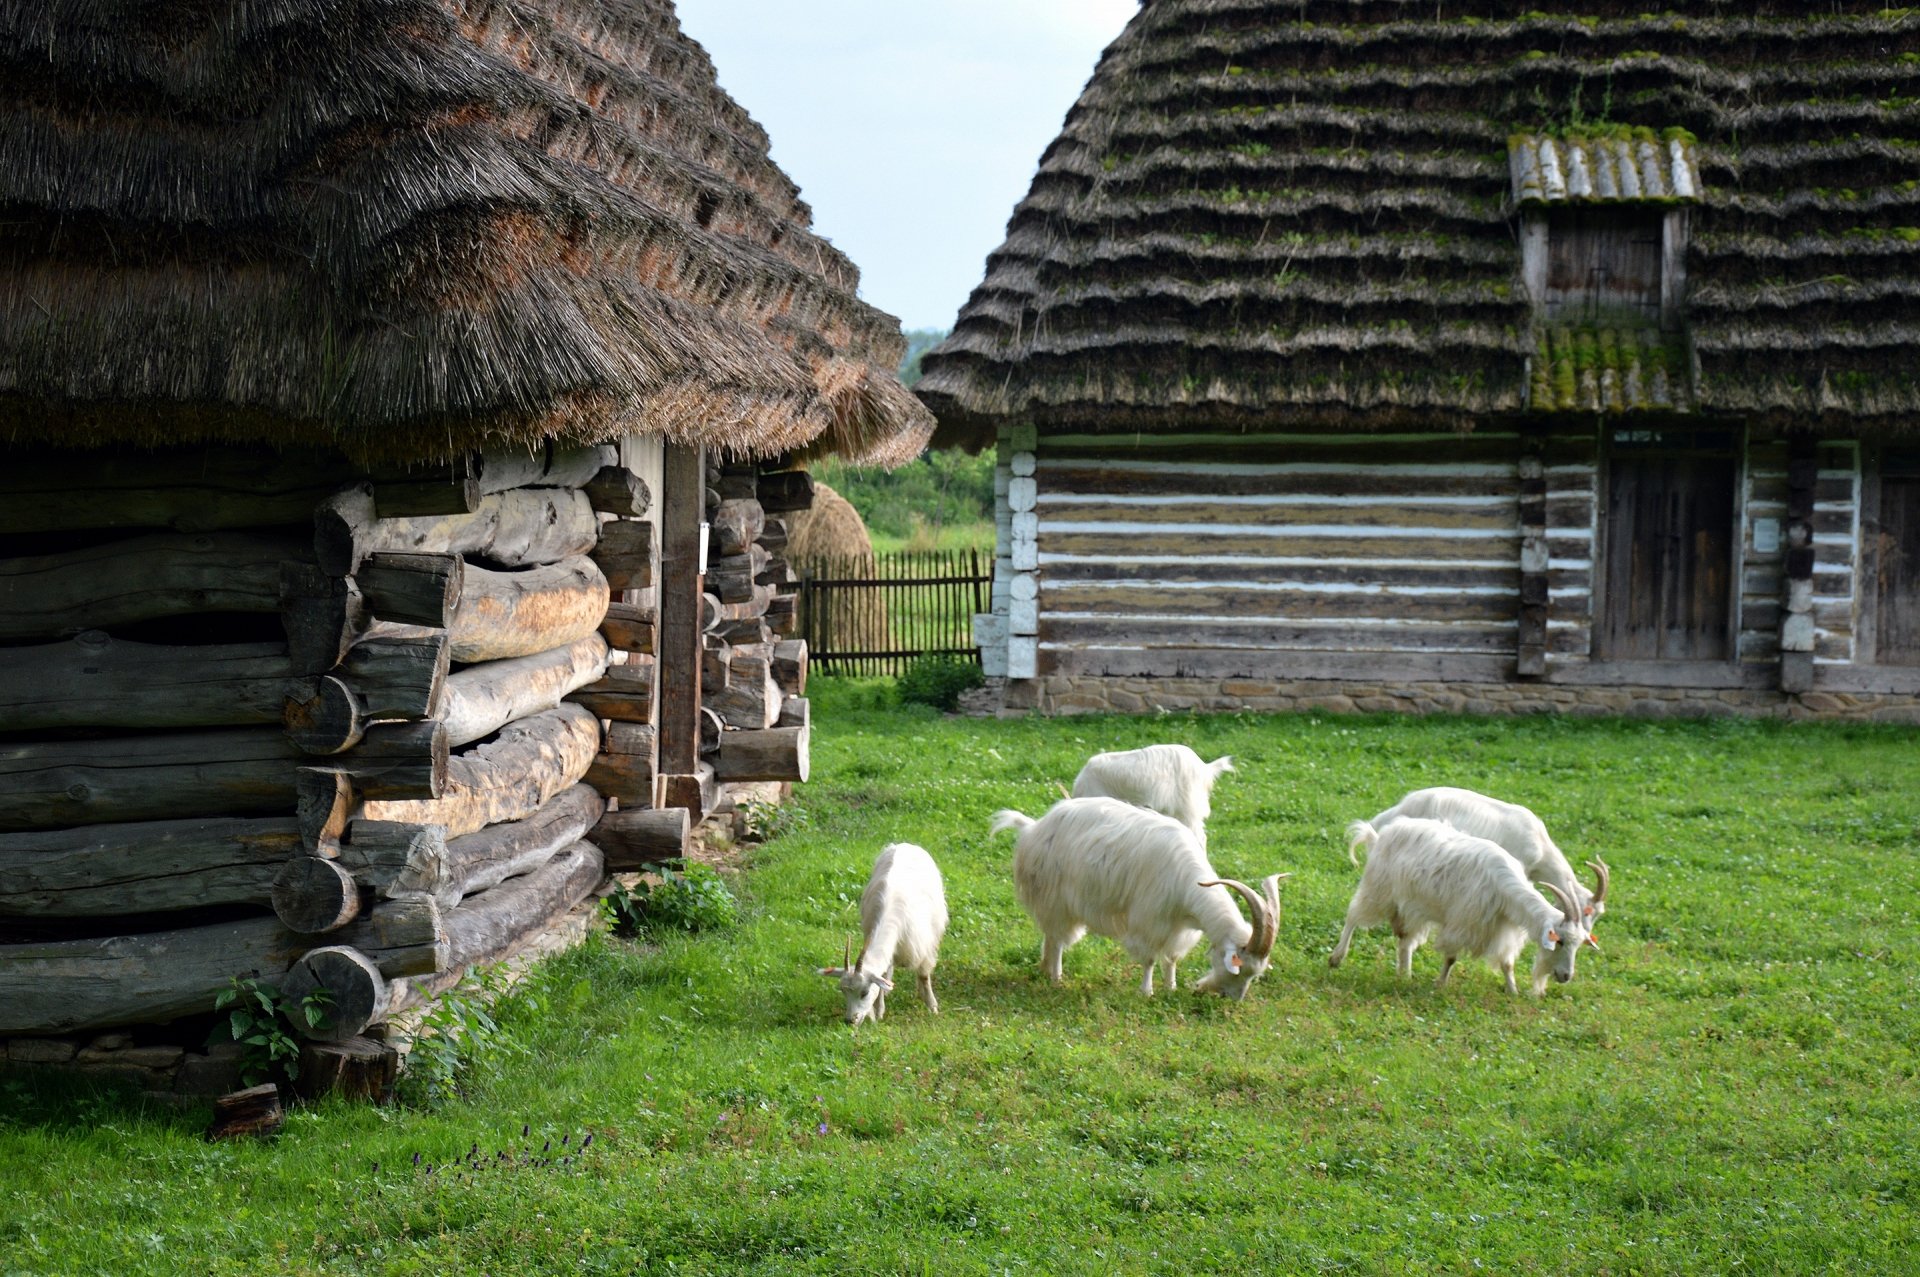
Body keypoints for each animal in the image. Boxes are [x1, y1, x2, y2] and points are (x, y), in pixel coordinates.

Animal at [818, 842, 948, 1026]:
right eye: (843, 991)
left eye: (864, 992)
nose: (850, 1020)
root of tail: (906, 844)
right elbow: (882, 976)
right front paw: (879, 1011)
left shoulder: (923, 946)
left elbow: (923, 975)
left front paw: (932, 1005)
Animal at [990, 797, 1286, 999]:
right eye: (1241, 968)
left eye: (1255, 974)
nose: (1233, 998)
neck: (1187, 884)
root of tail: (1032, 828)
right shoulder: (1149, 921)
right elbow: (1150, 959)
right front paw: (1147, 992)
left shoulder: (1177, 928)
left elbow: (1171, 958)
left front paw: (1171, 987)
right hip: (1056, 900)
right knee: (1057, 938)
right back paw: (1056, 976)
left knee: (1051, 938)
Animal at [1330, 817, 1592, 996]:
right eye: (1560, 940)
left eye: (1578, 944)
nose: (1566, 976)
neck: (1503, 887)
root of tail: (1379, 836)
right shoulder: (1463, 922)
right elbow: (1451, 958)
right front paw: (1440, 984)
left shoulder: (1501, 928)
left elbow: (1507, 963)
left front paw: (1513, 991)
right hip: (1379, 889)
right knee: (1354, 915)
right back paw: (1336, 957)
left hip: (1413, 906)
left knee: (1405, 942)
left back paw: (1405, 975)